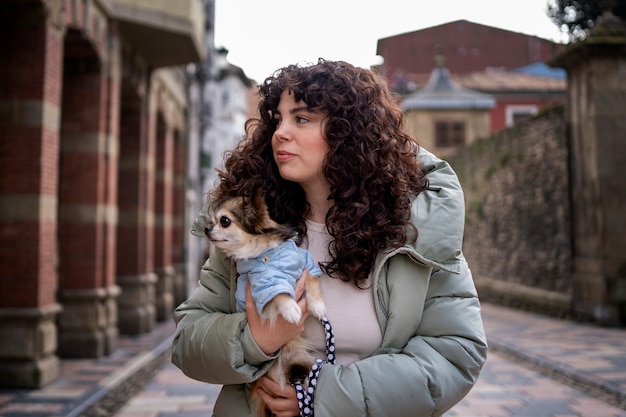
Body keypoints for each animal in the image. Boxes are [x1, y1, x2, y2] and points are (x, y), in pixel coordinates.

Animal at [204, 190, 324, 414]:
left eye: (224, 221)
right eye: (211, 220)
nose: (207, 229)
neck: (268, 252)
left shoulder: (304, 263)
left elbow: (312, 280)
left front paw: (318, 306)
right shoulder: (261, 284)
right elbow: (278, 294)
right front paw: (292, 309)